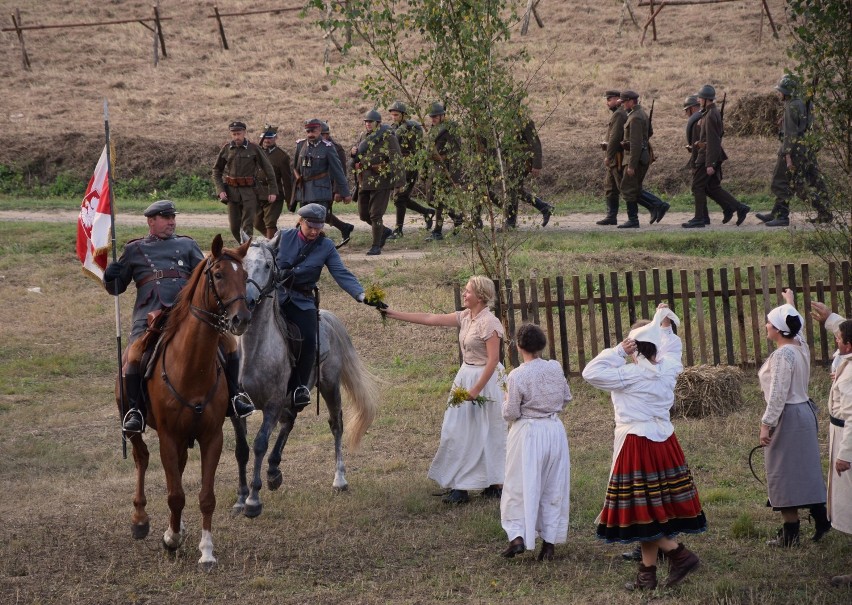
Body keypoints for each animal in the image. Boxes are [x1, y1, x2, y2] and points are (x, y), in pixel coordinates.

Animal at [120, 235, 253, 572]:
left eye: (245, 275)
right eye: (218, 274)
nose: (241, 318)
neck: (192, 367)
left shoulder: (211, 437)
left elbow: (205, 496)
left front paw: (206, 550)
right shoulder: (168, 436)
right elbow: (175, 494)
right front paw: (172, 539)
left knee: (176, 469)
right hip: (136, 426)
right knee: (141, 459)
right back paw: (140, 519)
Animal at [233, 234, 380, 516]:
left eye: (268, 265)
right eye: (242, 264)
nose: (247, 304)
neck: (255, 350)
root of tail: (326, 318)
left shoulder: (272, 404)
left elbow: (259, 444)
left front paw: (253, 500)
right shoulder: (236, 409)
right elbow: (242, 450)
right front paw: (241, 497)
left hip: (329, 386)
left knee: (336, 425)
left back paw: (339, 479)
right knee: (288, 422)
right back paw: (274, 471)